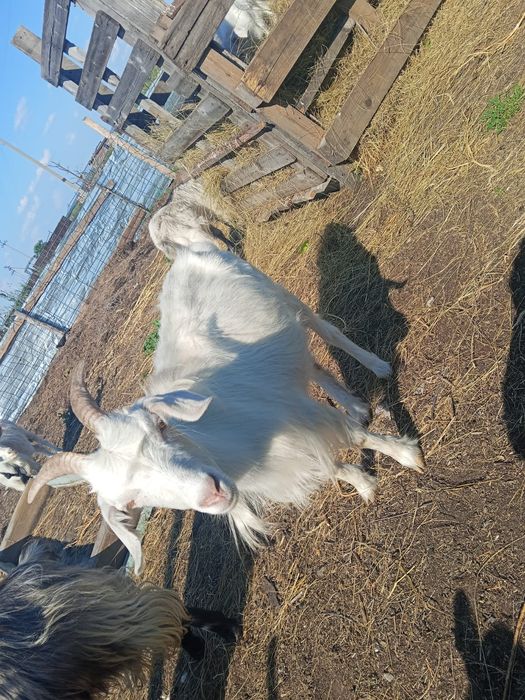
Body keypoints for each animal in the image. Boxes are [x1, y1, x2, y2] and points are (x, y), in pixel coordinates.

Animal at [29, 181, 424, 575]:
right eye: (130, 502)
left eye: (161, 426)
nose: (212, 493)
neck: (219, 441)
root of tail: (184, 253)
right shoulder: (284, 453)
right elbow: (333, 466)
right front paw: (364, 484)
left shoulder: (295, 413)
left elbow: (356, 438)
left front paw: (407, 455)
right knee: (307, 365)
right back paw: (355, 405)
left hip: (277, 294)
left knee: (326, 330)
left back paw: (378, 367)